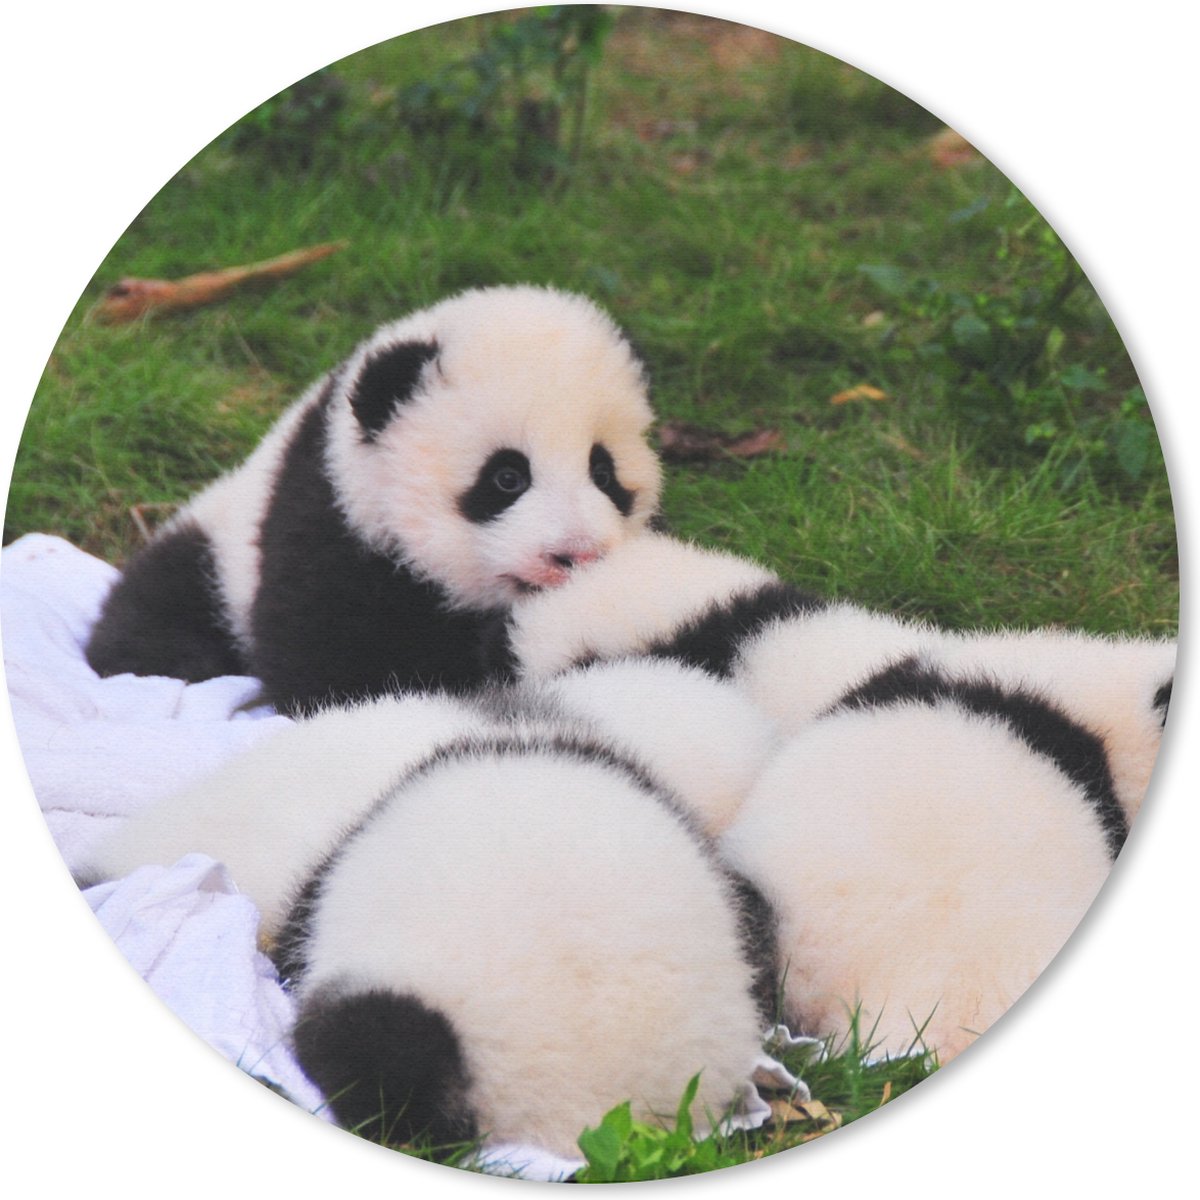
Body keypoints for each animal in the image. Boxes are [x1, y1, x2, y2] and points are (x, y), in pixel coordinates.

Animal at [84, 285, 662, 715]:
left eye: (603, 471)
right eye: (506, 477)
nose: (576, 554)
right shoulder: (326, 525)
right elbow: (341, 672)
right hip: (217, 559)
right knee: (158, 622)